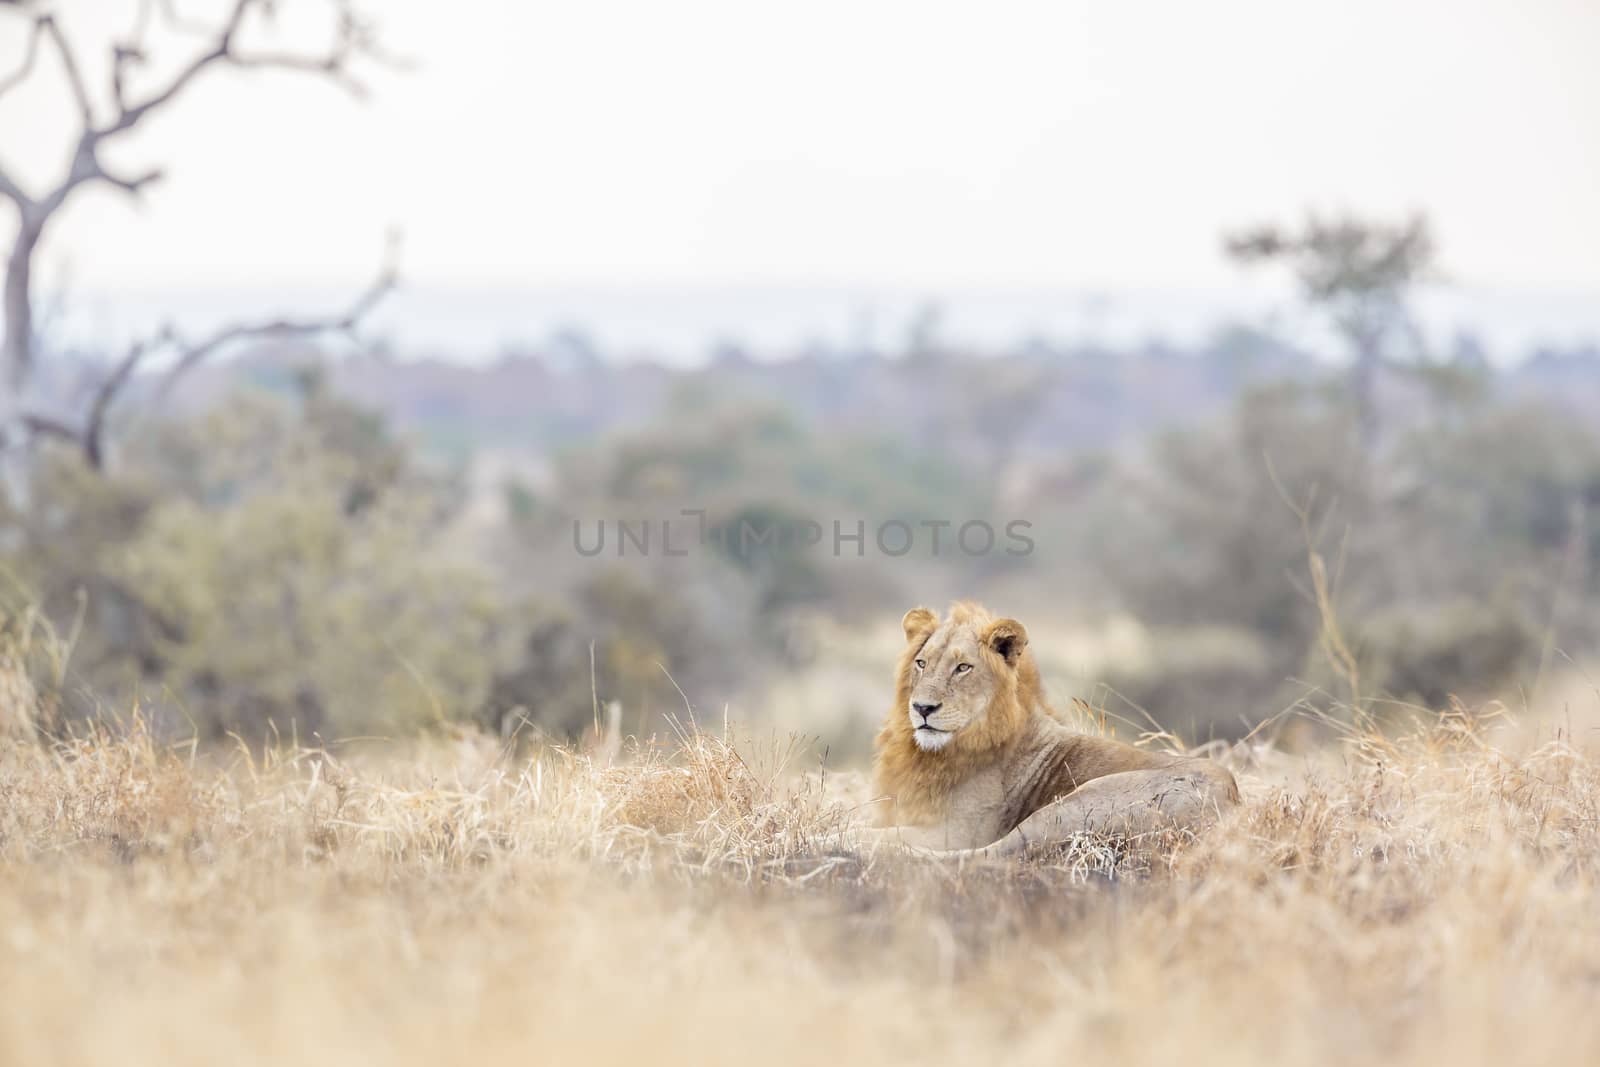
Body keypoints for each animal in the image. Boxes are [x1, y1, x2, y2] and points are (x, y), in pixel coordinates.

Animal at [870, 601, 1241, 857]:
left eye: (963, 668)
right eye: (921, 663)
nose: (922, 708)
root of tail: (1233, 800)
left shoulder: (961, 829)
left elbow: (880, 829)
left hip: (1073, 806)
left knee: (994, 853)